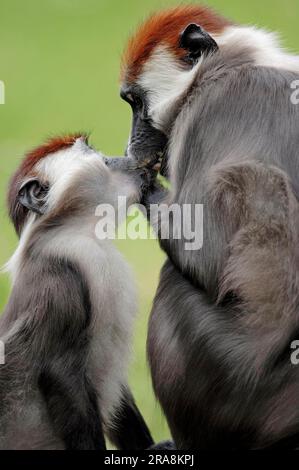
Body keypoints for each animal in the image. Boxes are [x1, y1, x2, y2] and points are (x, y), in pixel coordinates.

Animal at [120, 4, 299, 452]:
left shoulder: (208, 111)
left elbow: (206, 256)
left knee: (175, 283)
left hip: (241, 386)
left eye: (136, 103)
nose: (131, 145)